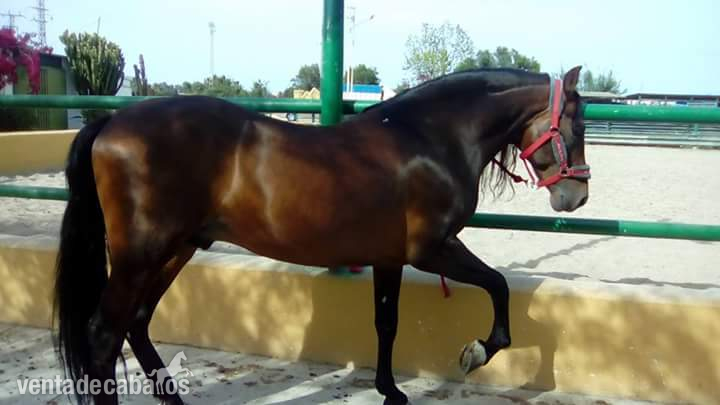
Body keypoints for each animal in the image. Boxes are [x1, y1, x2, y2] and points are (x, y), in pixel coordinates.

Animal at [53, 66, 590, 405]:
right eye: (578, 124)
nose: (576, 196)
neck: (427, 138)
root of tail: (110, 123)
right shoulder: (432, 249)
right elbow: (497, 285)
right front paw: (476, 352)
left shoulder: (389, 257)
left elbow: (387, 323)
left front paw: (390, 390)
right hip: (139, 255)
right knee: (104, 335)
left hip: (174, 250)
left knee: (137, 324)